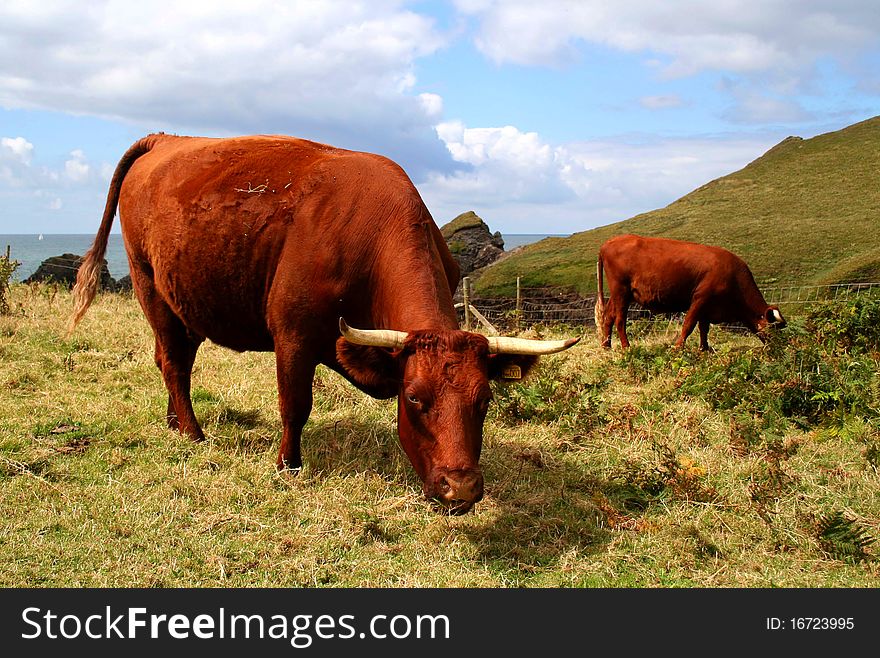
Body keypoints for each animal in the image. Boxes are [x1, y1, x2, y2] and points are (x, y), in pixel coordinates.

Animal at [67, 132, 576, 512]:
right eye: (414, 398)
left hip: (185, 300)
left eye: (485, 399)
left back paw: (174, 422)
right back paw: (193, 433)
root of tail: (164, 139)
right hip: (149, 285)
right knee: (173, 362)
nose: (462, 488)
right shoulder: (293, 337)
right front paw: (287, 467)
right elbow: (296, 405)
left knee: (173, 361)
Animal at [596, 233, 788, 352]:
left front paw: (704, 349)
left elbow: (704, 328)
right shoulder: (701, 298)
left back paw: (607, 346)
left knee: (608, 316)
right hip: (621, 291)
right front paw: (678, 347)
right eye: (775, 329)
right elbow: (689, 325)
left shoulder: (708, 307)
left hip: (619, 294)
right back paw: (626, 347)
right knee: (620, 319)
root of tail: (608, 243)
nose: (783, 347)